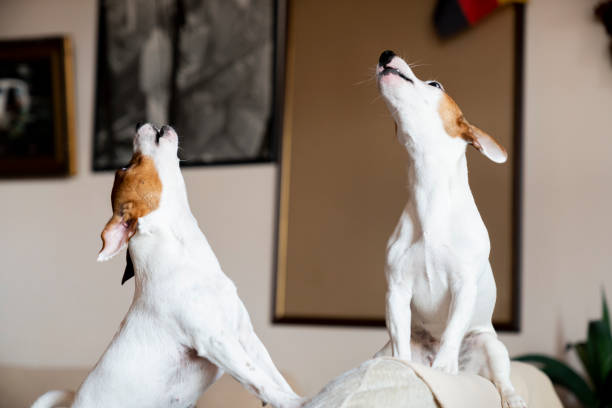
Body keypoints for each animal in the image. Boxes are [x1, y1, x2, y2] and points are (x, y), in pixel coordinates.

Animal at [31, 123, 304, 408]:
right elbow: (259, 381)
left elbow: (273, 376)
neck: (188, 259)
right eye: (124, 168)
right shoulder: (216, 340)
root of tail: (72, 403)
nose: (140, 124)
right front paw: (295, 402)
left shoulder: (246, 336)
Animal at [372, 51, 524, 408]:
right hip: (384, 350)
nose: (386, 54)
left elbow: (453, 329)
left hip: (491, 345)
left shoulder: (463, 286)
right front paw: (407, 366)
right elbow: (399, 339)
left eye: (435, 84)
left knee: (501, 379)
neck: (429, 193)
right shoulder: (397, 290)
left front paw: (443, 367)